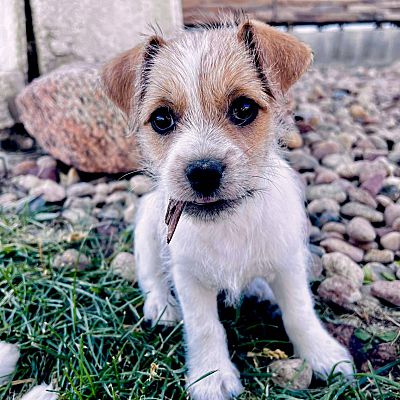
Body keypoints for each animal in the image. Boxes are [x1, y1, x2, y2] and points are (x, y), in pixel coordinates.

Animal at [101, 17, 354, 400]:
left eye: (244, 109)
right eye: (161, 119)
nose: (203, 173)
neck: (228, 225)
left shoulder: (289, 262)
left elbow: (299, 311)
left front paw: (322, 354)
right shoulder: (189, 278)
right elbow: (205, 327)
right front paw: (213, 376)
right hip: (146, 229)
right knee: (150, 276)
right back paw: (161, 306)